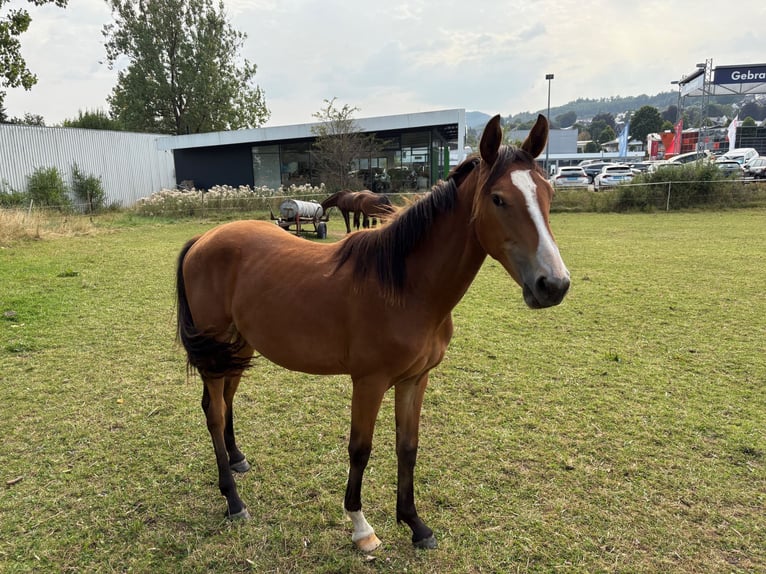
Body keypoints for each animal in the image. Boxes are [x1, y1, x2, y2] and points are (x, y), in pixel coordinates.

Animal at [175, 114, 570, 552]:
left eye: (549, 192)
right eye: (499, 199)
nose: (553, 285)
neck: (406, 287)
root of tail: (203, 240)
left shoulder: (415, 379)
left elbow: (408, 447)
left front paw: (415, 524)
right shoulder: (369, 382)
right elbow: (360, 449)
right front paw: (361, 527)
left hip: (237, 346)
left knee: (225, 402)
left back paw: (237, 459)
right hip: (217, 350)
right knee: (214, 413)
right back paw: (233, 499)